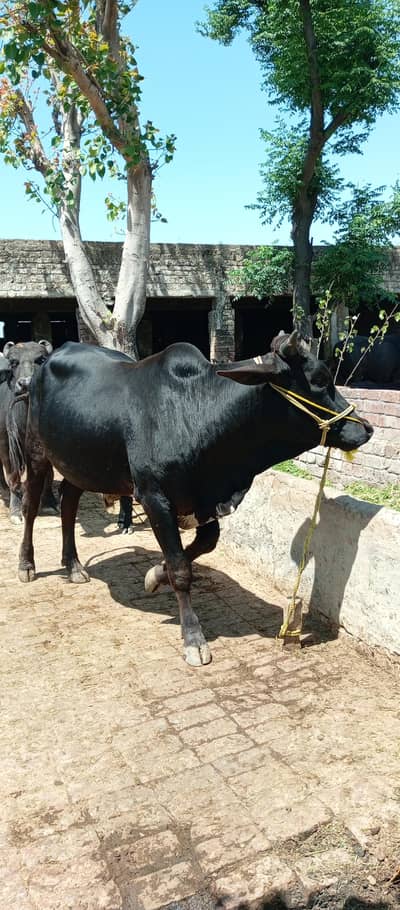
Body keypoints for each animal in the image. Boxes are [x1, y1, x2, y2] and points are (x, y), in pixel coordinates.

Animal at [0, 340, 58, 522]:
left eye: (40, 360)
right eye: (13, 363)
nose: (25, 383)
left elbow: (48, 474)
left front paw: (48, 503)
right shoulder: (6, 444)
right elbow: (13, 476)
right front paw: (16, 511)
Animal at [11, 331, 373, 666]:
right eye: (319, 380)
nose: (366, 428)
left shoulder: (204, 501)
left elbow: (203, 545)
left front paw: (155, 575)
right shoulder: (154, 497)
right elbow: (181, 568)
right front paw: (194, 639)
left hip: (78, 464)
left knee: (69, 504)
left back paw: (72, 565)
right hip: (37, 452)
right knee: (31, 506)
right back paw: (27, 564)